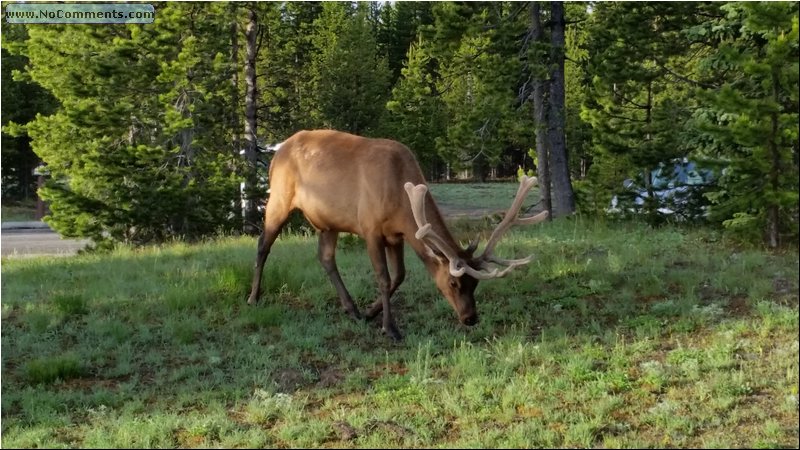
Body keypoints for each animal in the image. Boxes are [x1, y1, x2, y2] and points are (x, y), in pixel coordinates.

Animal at [248, 128, 552, 340]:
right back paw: (253, 297)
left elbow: (400, 276)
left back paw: (351, 308)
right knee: (263, 244)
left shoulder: (397, 235)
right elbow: (383, 278)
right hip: (279, 198)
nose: (471, 318)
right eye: (453, 283)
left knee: (325, 257)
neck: (400, 201)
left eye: (474, 284)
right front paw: (390, 328)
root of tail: (274, 156)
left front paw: (371, 312)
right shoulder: (369, 227)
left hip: (328, 222)